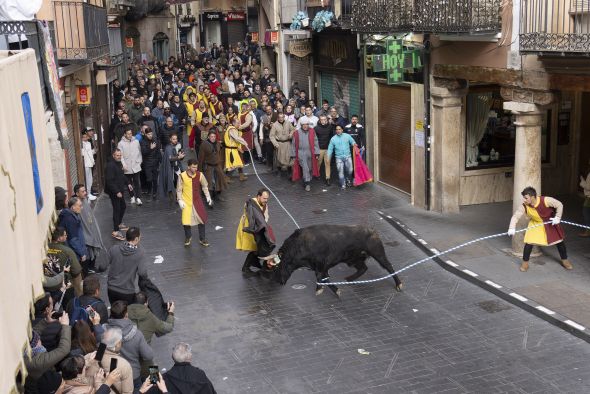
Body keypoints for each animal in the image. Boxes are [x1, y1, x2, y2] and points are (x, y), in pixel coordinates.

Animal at [274, 225, 404, 296]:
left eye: (281, 265)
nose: (279, 281)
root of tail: (372, 230)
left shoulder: (321, 265)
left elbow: (321, 278)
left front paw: (320, 290)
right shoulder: (322, 267)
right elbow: (325, 279)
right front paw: (335, 291)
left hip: (378, 253)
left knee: (389, 266)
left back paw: (399, 285)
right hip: (355, 259)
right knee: (363, 268)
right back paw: (349, 279)